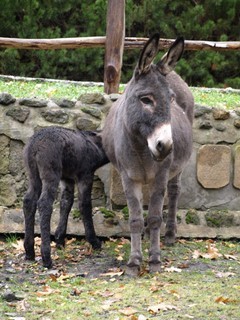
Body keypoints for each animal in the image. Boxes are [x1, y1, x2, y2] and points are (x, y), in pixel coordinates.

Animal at [23, 126, 109, 268]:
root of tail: (34, 145)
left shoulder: (67, 178)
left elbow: (66, 203)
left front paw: (59, 239)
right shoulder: (85, 175)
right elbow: (85, 205)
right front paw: (94, 242)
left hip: (33, 173)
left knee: (28, 201)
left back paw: (29, 252)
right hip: (51, 172)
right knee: (44, 203)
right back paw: (46, 257)